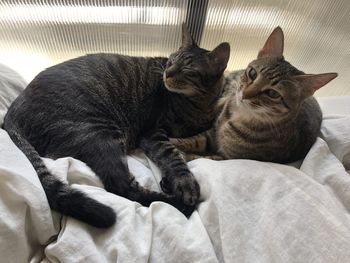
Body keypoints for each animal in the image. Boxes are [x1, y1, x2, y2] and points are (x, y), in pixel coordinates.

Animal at [4, 24, 231, 229]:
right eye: (171, 60)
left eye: (187, 69)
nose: (167, 72)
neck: (200, 104)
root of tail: (11, 113)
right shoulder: (152, 133)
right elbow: (171, 153)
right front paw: (184, 182)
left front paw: (171, 180)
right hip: (98, 133)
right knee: (121, 186)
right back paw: (177, 204)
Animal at [171, 26, 338, 163]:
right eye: (252, 73)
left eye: (272, 93)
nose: (245, 94)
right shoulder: (212, 133)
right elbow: (194, 140)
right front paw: (174, 141)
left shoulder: (228, 157)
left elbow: (199, 157)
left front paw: (183, 154)